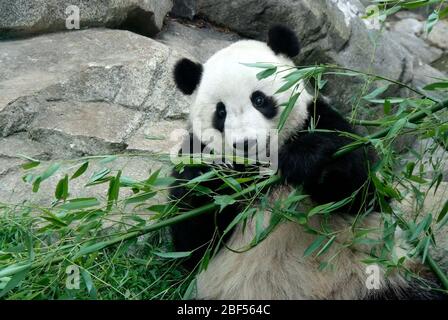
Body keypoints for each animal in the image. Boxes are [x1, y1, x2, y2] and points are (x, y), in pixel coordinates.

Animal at [167, 25, 444, 300]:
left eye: (259, 100)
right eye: (221, 112)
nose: (246, 143)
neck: (261, 169)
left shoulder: (320, 119)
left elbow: (361, 190)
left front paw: (305, 158)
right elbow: (192, 242)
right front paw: (206, 176)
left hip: (381, 278)